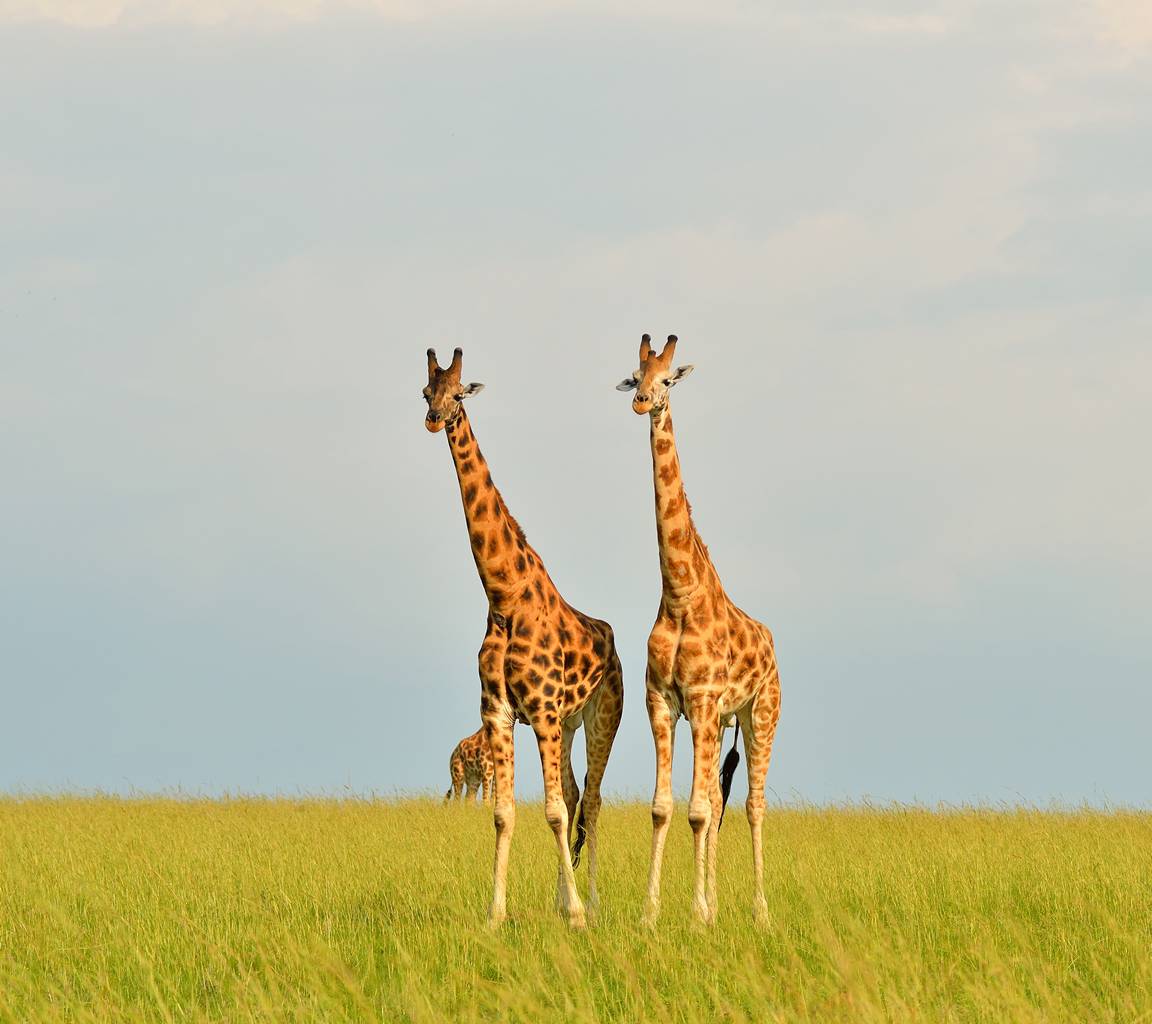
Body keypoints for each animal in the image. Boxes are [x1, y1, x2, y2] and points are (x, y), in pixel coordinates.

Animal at [422, 346, 624, 928]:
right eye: (426, 391)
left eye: (459, 391)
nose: (434, 419)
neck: (503, 596)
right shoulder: (501, 711)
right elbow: (504, 814)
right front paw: (496, 913)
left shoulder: (542, 707)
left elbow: (553, 811)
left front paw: (576, 914)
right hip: (568, 721)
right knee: (578, 792)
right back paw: (564, 897)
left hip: (603, 714)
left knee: (592, 797)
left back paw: (592, 901)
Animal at [616, 334, 781, 926]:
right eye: (634, 374)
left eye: (667, 380)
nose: (642, 401)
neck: (679, 594)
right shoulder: (663, 702)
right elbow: (667, 808)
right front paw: (653, 913)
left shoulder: (705, 699)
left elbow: (697, 812)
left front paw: (695, 915)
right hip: (722, 720)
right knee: (716, 799)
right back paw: (718, 904)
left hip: (760, 714)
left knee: (752, 805)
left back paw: (759, 910)